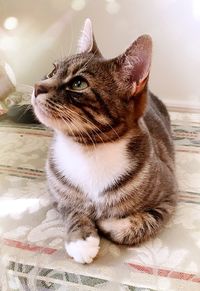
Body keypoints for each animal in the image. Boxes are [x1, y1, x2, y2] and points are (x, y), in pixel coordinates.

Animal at [31, 17, 177, 264]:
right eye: (52, 71)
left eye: (78, 83)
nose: (36, 87)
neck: (88, 150)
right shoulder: (56, 194)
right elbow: (72, 209)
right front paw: (81, 239)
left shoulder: (170, 194)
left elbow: (141, 224)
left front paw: (108, 224)